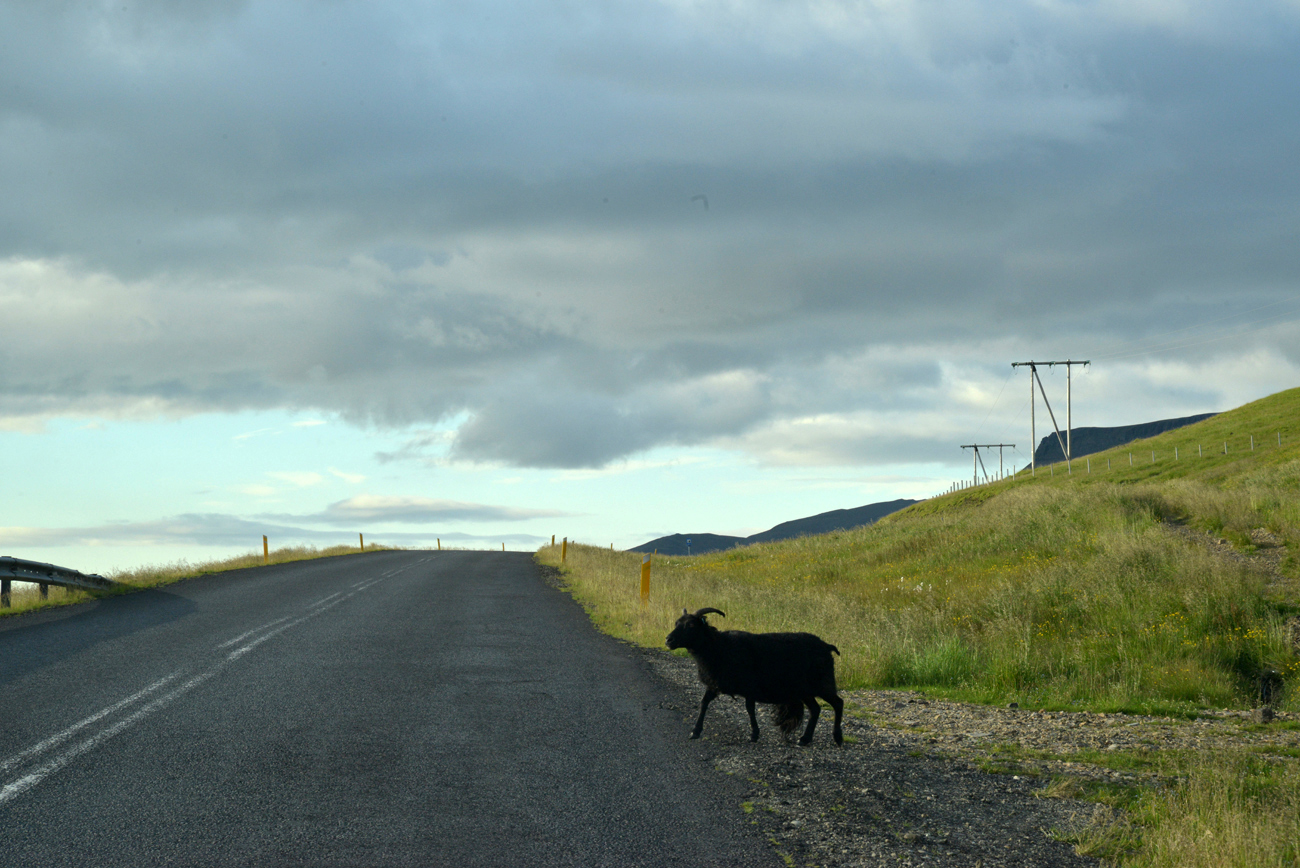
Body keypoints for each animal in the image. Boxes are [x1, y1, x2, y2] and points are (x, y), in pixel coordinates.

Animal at [665, 608, 847, 743]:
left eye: (691, 625)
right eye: (676, 623)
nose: (668, 640)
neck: (719, 646)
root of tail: (827, 646)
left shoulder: (749, 686)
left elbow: (749, 709)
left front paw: (754, 734)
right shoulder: (714, 684)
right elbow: (703, 703)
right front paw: (695, 731)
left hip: (822, 683)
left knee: (838, 703)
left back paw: (837, 737)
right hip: (805, 690)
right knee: (815, 709)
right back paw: (805, 739)